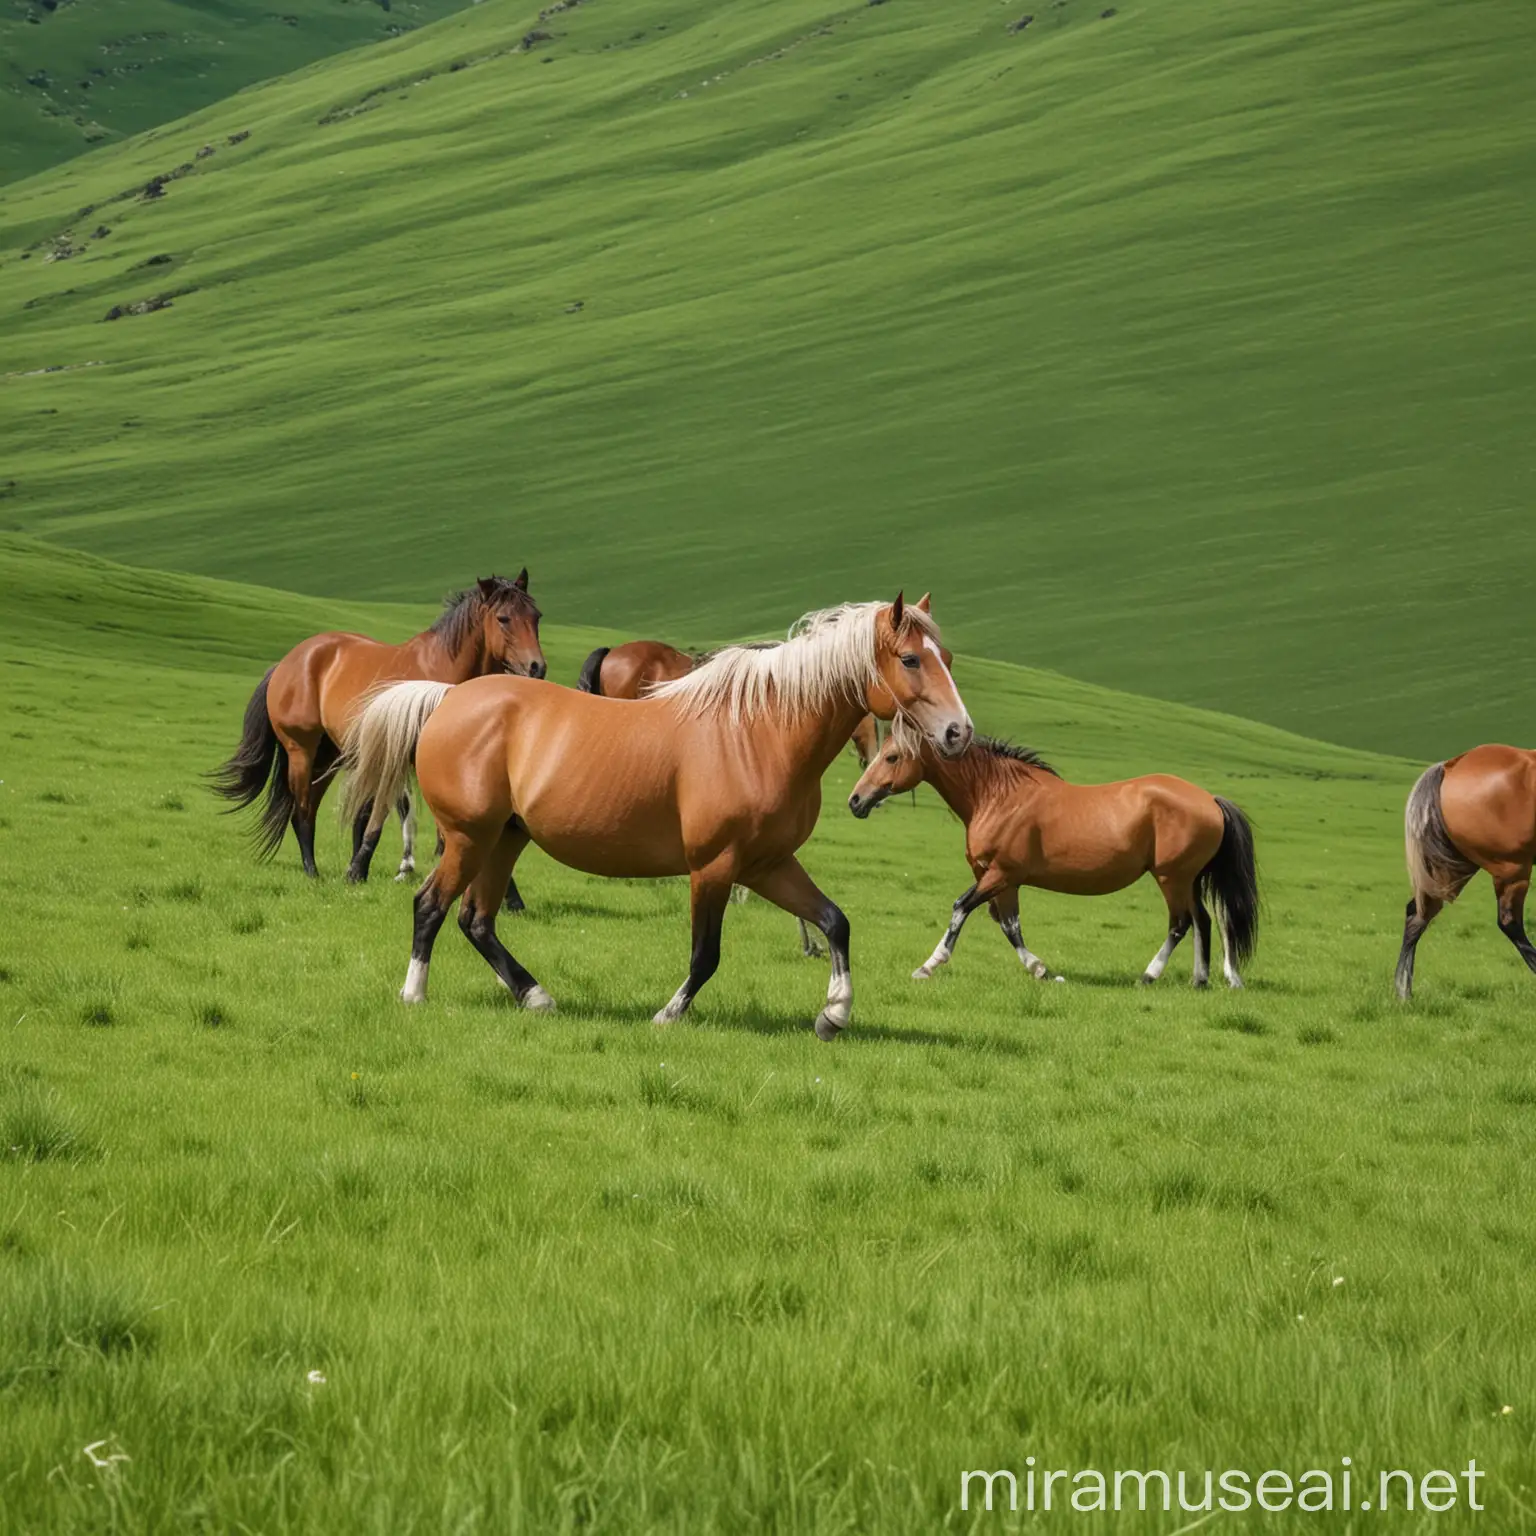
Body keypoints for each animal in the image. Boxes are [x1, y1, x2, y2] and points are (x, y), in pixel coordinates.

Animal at [210, 571, 546, 884]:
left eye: (536, 616)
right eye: (503, 618)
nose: (537, 667)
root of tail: (287, 662)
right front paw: (373, 869)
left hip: (327, 757)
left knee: (311, 806)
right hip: (301, 752)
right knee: (302, 811)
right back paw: (312, 872)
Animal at [345, 592, 970, 1038]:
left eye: (947, 658)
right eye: (911, 659)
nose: (958, 733)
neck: (760, 731)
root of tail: (447, 698)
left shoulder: (767, 865)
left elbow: (835, 922)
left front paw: (834, 1014)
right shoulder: (715, 867)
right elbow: (705, 954)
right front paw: (668, 1015)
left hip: (505, 839)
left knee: (476, 920)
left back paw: (535, 996)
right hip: (467, 838)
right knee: (430, 905)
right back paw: (414, 994)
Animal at [847, 734, 1253, 995]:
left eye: (892, 757)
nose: (856, 800)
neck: (996, 797)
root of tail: (1210, 800)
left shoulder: (1000, 874)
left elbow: (961, 908)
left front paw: (928, 966)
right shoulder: (1004, 881)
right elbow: (1009, 925)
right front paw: (1041, 970)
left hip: (1171, 877)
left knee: (1181, 923)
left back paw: (1149, 976)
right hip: (1189, 879)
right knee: (1203, 920)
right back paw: (1199, 980)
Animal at [1394, 746, 1536, 1001]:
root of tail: (1451, 765)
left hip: (1452, 867)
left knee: (1417, 914)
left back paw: (1404, 993)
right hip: (1512, 867)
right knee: (1510, 922)